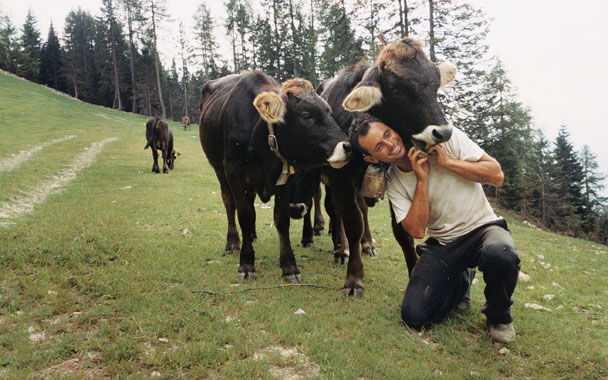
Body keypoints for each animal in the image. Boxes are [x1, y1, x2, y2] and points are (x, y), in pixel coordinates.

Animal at [200, 72, 352, 284]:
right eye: (307, 115)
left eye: (330, 112)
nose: (347, 147)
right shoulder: (235, 172)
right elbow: (244, 215)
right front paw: (246, 264)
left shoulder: (284, 176)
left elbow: (281, 219)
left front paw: (289, 267)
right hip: (219, 170)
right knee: (229, 203)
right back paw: (233, 242)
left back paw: (252, 235)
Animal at [318, 37, 456, 296]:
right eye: (398, 91)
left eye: (435, 86)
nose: (443, 132)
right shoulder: (340, 178)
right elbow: (352, 223)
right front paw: (354, 278)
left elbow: (401, 231)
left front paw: (413, 272)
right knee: (335, 210)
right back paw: (341, 248)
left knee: (362, 208)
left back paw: (367, 243)